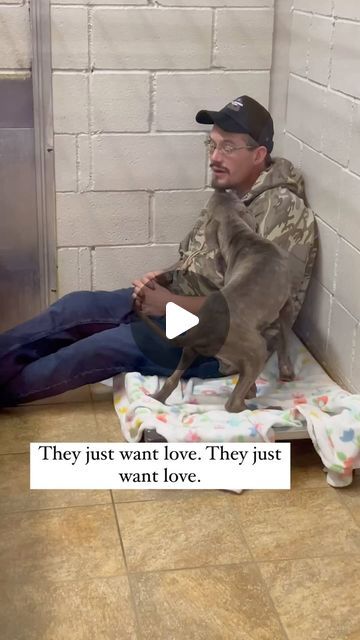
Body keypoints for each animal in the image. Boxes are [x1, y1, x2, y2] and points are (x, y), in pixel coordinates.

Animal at [136, 188, 294, 412]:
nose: (222, 188)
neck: (243, 237)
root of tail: (201, 330)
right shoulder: (286, 304)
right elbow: (285, 337)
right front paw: (286, 370)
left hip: (190, 351)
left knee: (172, 381)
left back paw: (157, 398)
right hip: (257, 349)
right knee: (233, 404)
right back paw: (265, 409)